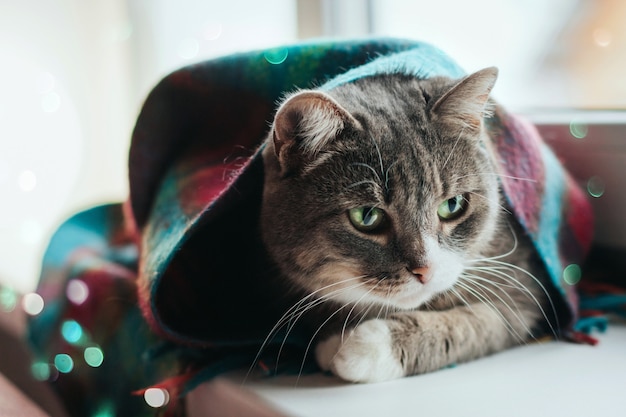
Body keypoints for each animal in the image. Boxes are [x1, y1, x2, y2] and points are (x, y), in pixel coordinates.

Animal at [256, 66, 560, 382]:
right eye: (367, 216)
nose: (426, 271)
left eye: (453, 205)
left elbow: (479, 322)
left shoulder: (521, 291)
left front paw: (360, 347)